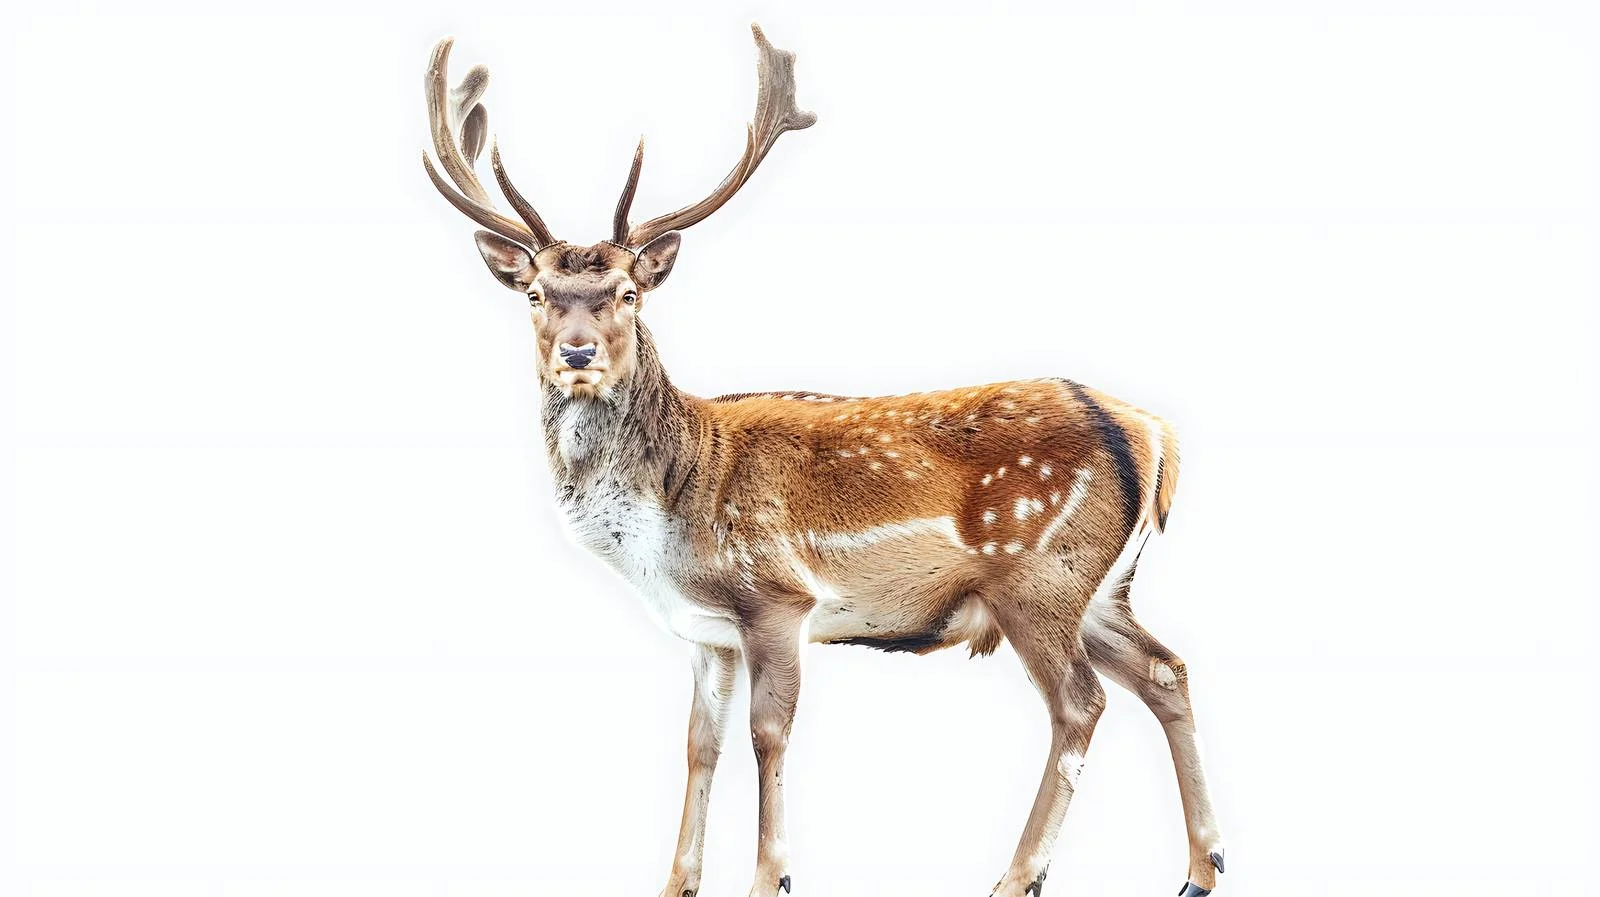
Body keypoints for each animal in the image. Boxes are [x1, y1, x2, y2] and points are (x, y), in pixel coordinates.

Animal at [421, 24, 1226, 897]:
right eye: (535, 293)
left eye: (631, 292)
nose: (577, 352)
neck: (665, 521)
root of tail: (1155, 433)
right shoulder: (706, 630)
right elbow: (699, 744)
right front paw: (677, 881)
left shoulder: (776, 595)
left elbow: (768, 732)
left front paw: (771, 875)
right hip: (1101, 588)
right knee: (1167, 670)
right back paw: (1200, 866)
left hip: (1040, 576)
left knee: (1081, 704)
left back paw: (1018, 875)